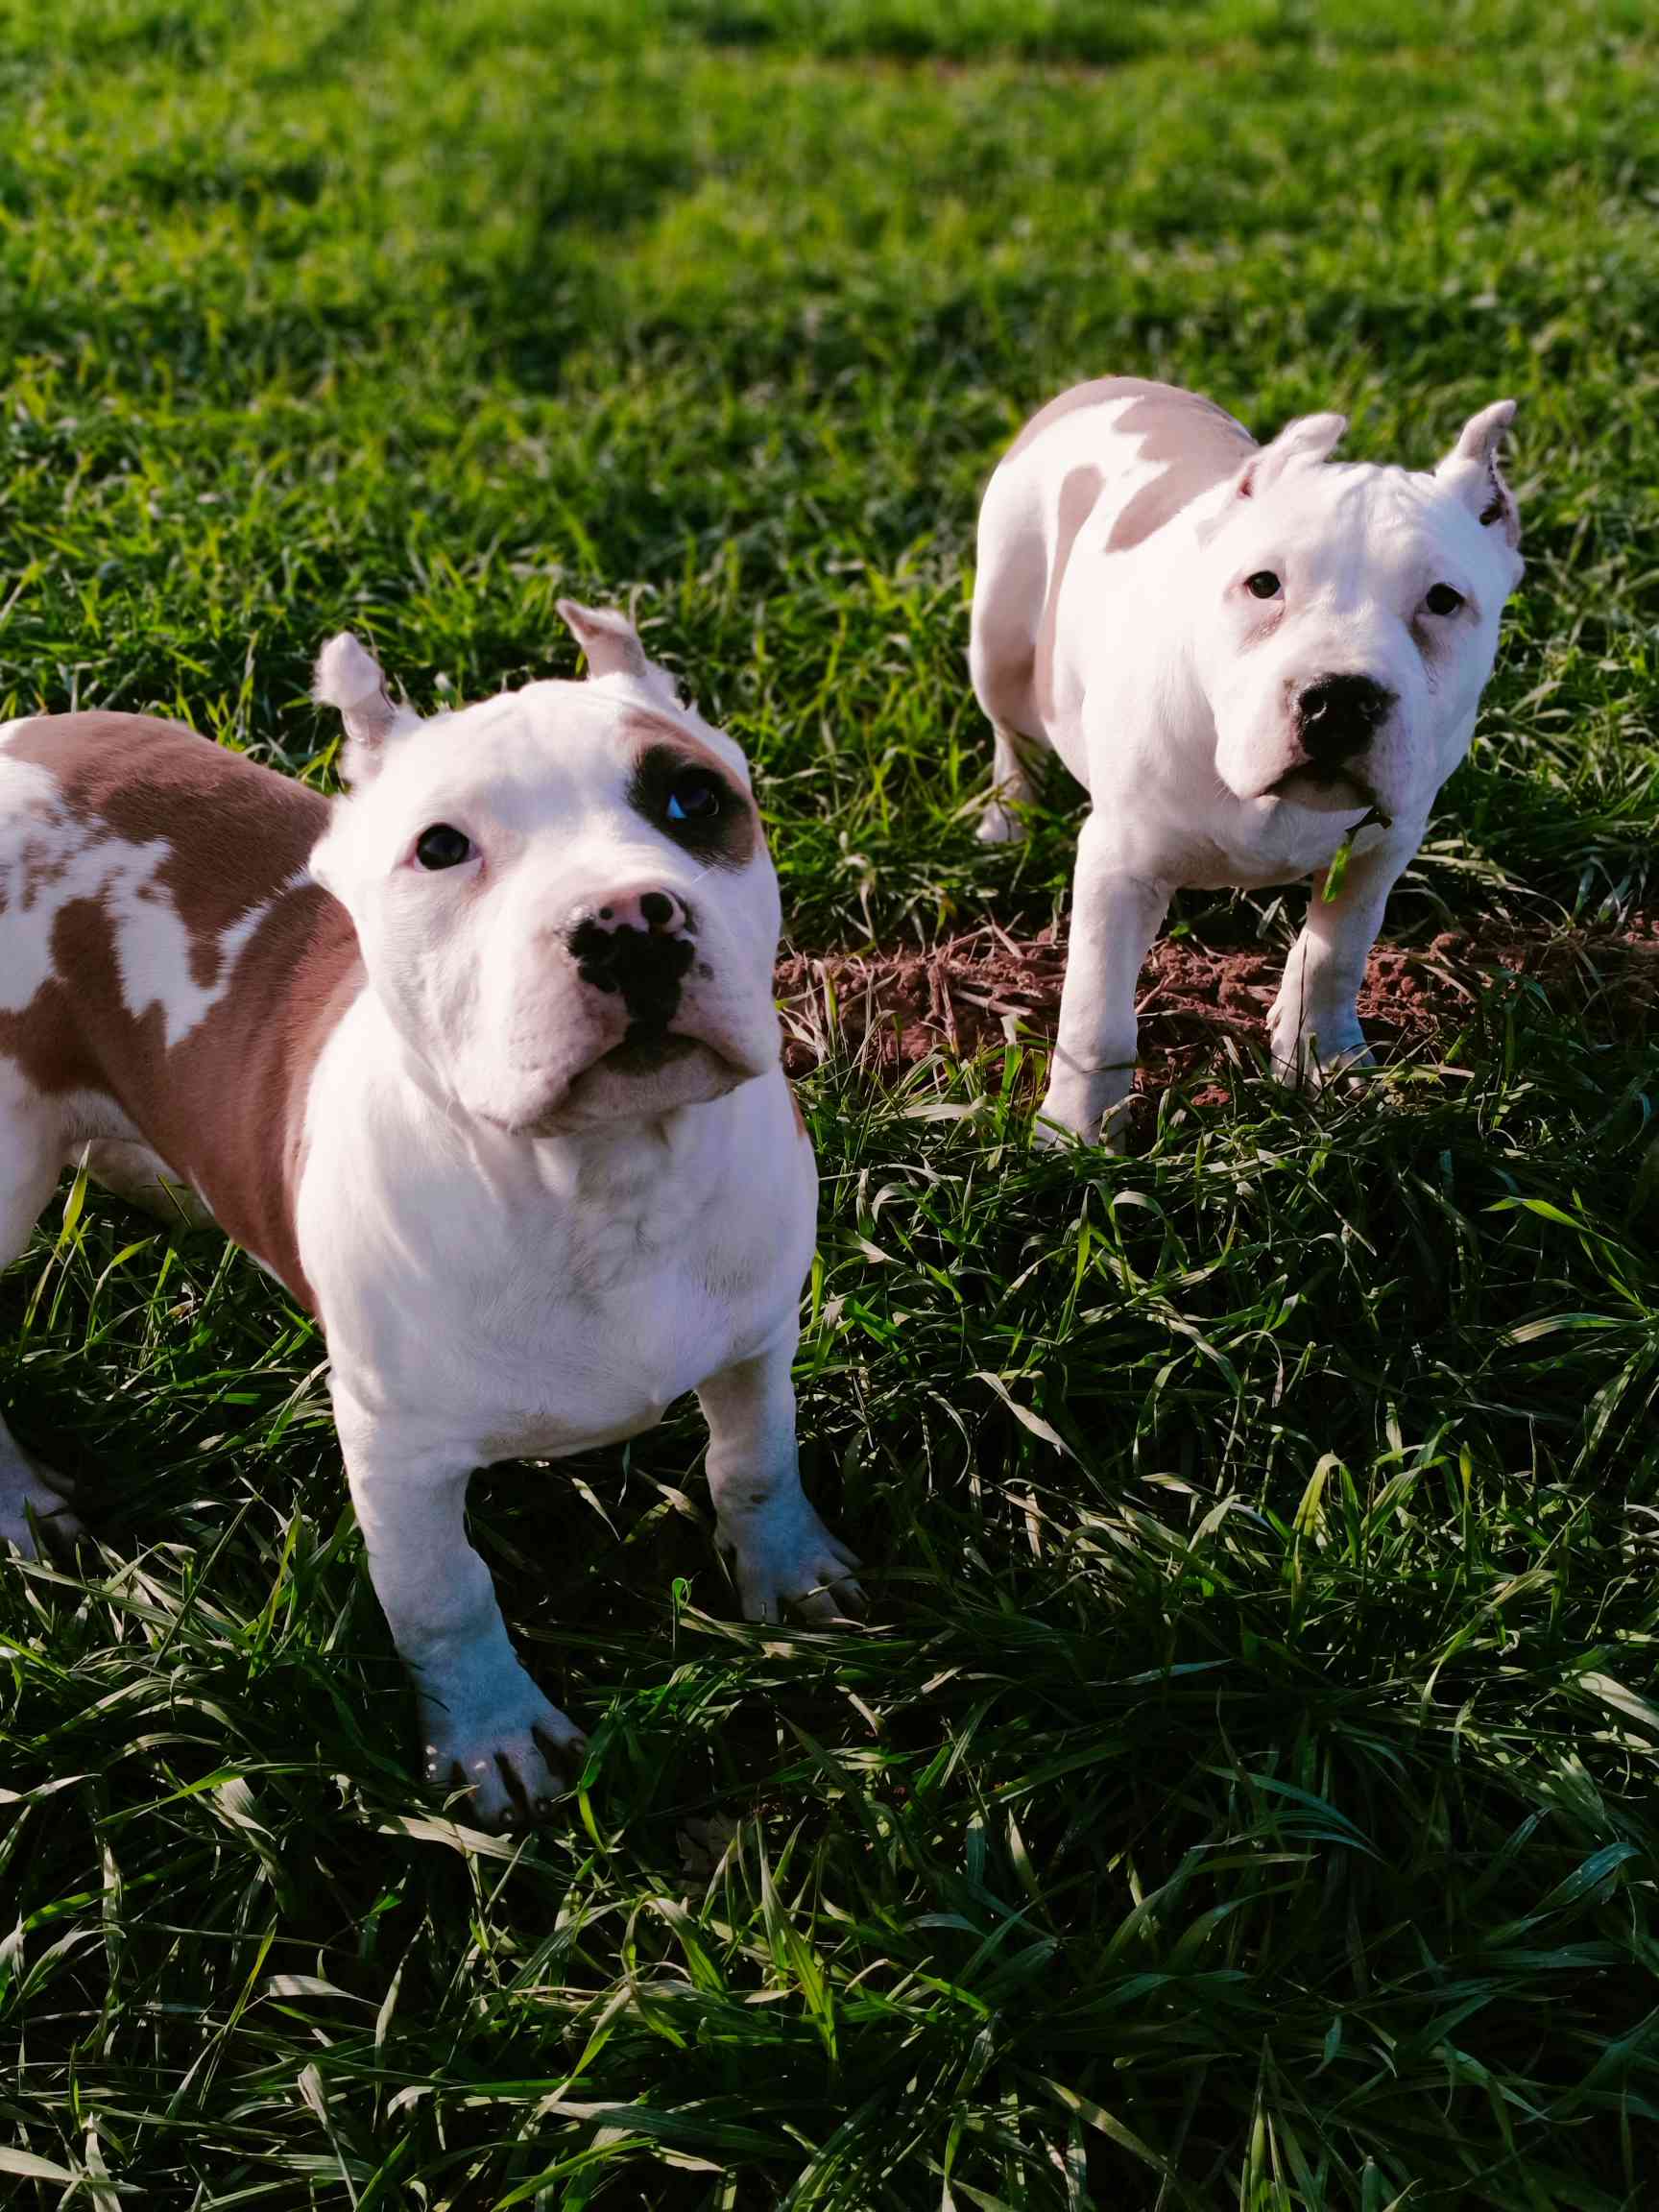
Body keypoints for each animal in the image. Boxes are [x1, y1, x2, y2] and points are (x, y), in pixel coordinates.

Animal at [0, 610, 857, 1831]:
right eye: (441, 848)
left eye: (693, 799)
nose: (626, 921)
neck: (602, 1183)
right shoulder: (394, 1449)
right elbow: (443, 1592)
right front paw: (492, 1734)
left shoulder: (756, 1336)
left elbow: (755, 1460)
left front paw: (787, 1571)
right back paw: (22, 1506)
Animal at [969, 375, 1530, 1141]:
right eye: (1263, 585)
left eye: (1443, 601)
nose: (1340, 700)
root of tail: (1110, 384)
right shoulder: (1118, 867)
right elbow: (1097, 1009)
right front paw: (1077, 1132)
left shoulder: (1378, 851)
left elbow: (1334, 960)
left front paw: (1325, 1062)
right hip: (1000, 631)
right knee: (1012, 735)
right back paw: (1007, 821)